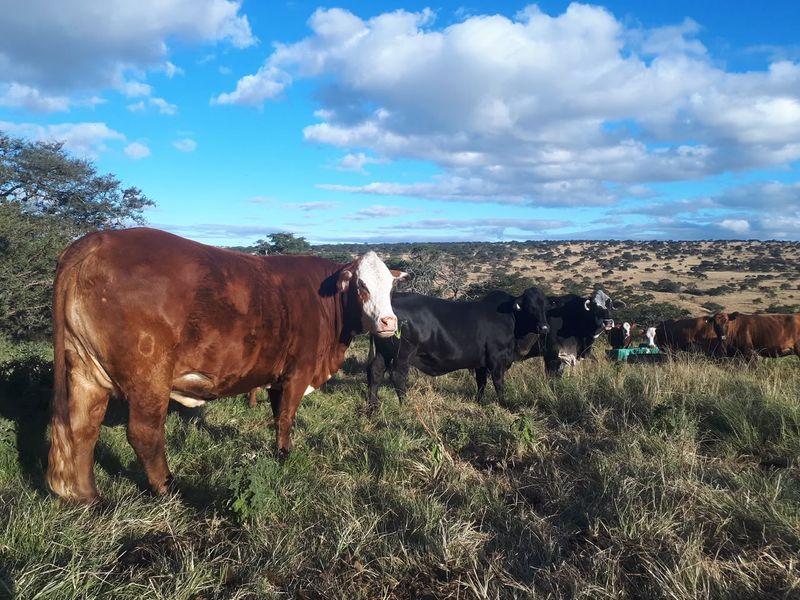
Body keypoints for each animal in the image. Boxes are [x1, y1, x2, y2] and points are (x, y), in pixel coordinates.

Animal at [47, 227, 406, 503]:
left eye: (390, 287)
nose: (389, 322)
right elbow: (286, 418)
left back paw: (87, 497)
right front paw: (285, 456)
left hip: (84, 370)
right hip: (149, 376)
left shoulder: (277, 376)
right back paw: (168, 489)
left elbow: (277, 416)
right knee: (144, 433)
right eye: (361, 286)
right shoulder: (298, 372)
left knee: (81, 428)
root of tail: (99, 239)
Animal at [366, 287, 550, 410]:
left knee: (376, 371)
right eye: (529, 306)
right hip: (403, 354)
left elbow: (481, 383)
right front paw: (504, 404)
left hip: (383, 353)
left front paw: (478, 401)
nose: (544, 328)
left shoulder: (480, 362)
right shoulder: (497, 359)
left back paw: (373, 405)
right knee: (398, 376)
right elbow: (499, 383)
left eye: (545, 306)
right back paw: (404, 404)